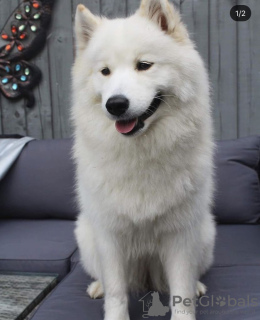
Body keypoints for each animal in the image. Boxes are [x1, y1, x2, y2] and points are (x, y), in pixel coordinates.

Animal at [72, 1, 216, 318]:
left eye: (144, 65)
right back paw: (97, 287)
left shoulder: (180, 234)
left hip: (204, 234)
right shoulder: (109, 235)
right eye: (105, 72)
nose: (115, 104)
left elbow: (181, 290)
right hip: (86, 237)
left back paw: (199, 285)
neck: (140, 153)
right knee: (104, 278)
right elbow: (116, 291)